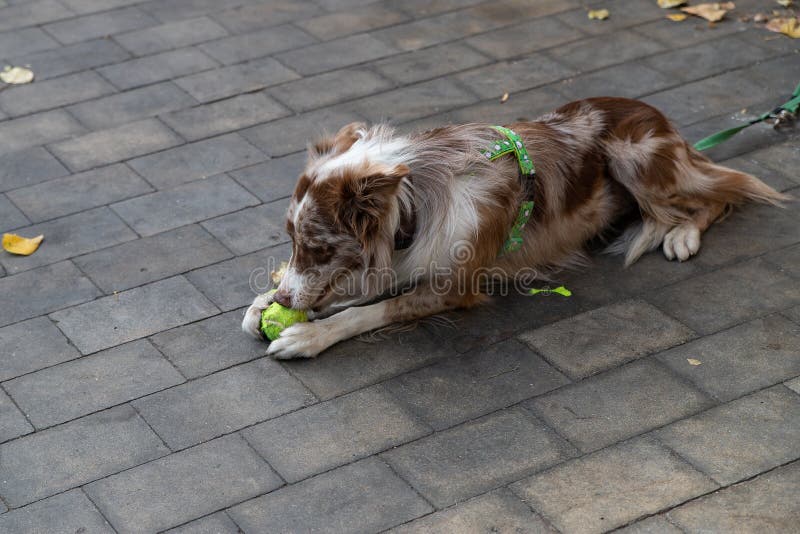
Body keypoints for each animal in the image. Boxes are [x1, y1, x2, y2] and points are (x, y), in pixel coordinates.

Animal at [241, 98, 784, 362]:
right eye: (292, 240)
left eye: (317, 246)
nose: (285, 303)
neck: (414, 206)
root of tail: (667, 123)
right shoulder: (405, 253)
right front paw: (264, 303)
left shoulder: (454, 285)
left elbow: (366, 311)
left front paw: (308, 335)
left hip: (634, 156)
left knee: (721, 192)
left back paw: (682, 234)